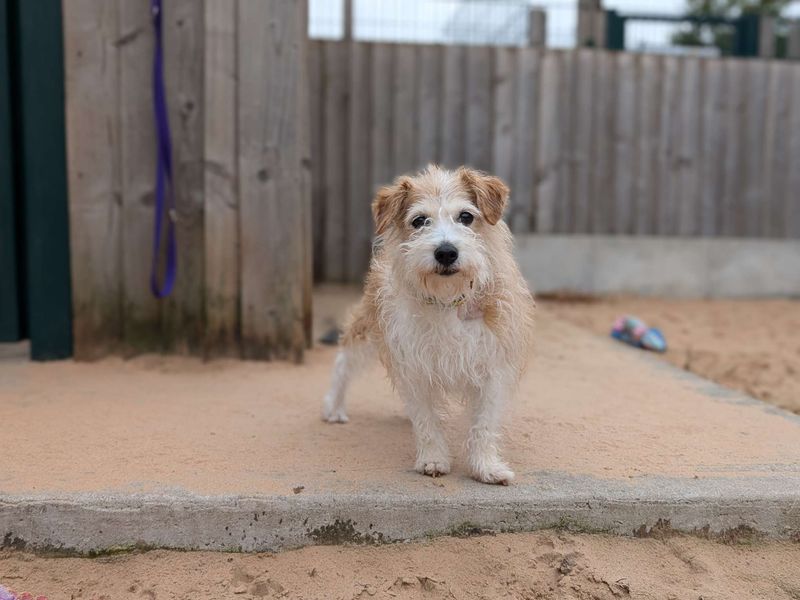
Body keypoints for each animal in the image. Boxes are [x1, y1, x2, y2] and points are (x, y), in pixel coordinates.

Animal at [322, 166, 536, 486]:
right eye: (419, 220)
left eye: (466, 216)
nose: (446, 252)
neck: (448, 299)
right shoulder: (414, 365)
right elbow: (426, 418)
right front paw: (433, 458)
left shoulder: (492, 365)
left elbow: (484, 423)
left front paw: (485, 466)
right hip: (367, 326)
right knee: (343, 363)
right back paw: (334, 406)